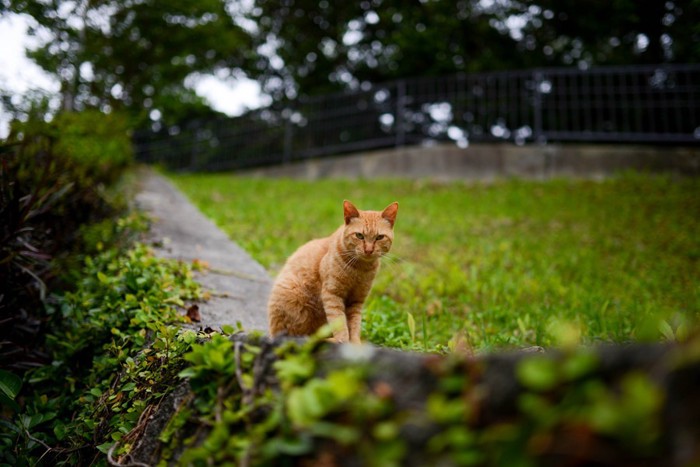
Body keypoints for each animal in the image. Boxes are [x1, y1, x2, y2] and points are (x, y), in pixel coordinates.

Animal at [268, 201, 400, 344]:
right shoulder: (332, 294)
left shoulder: (356, 300)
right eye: (359, 235)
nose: (369, 250)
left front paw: (355, 343)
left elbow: (354, 325)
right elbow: (339, 322)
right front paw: (342, 341)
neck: (360, 269)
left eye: (379, 237)